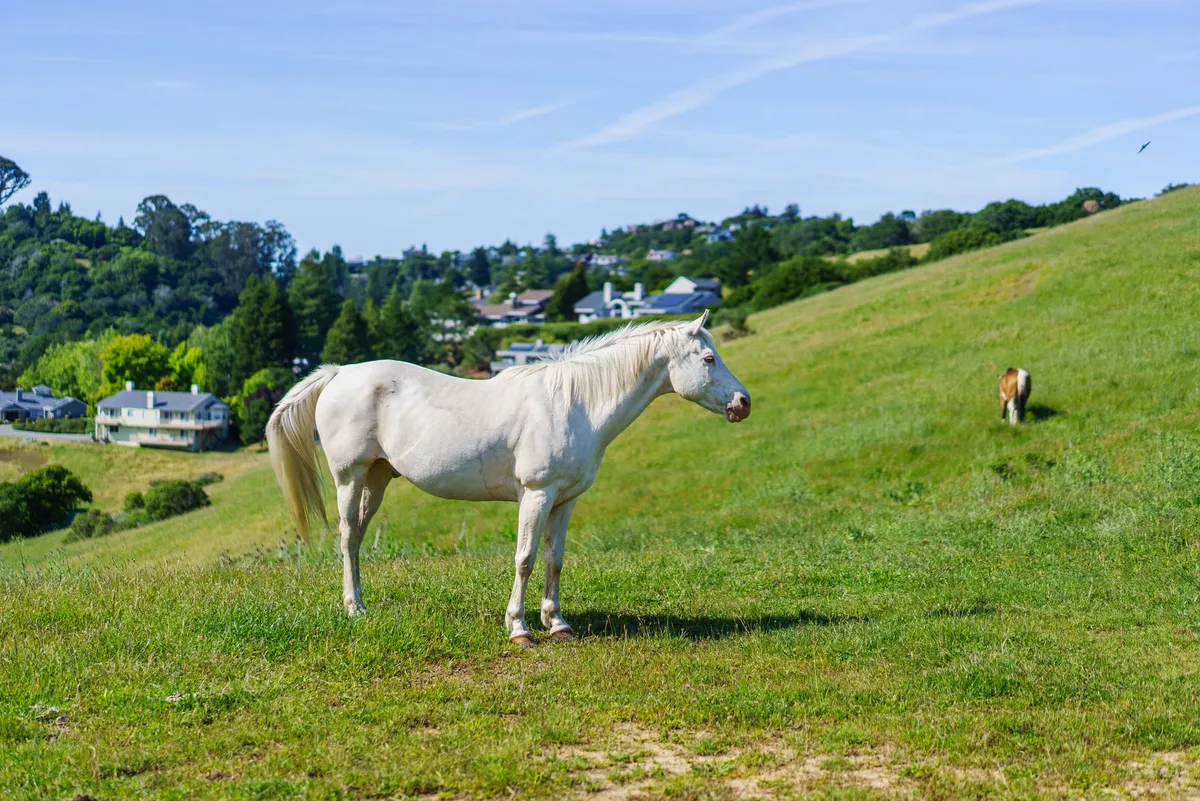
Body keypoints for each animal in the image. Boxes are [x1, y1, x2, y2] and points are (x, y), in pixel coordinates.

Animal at [266, 312, 751, 647]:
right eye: (708, 358)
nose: (743, 403)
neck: (574, 404)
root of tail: (339, 374)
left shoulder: (565, 500)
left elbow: (555, 560)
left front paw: (558, 623)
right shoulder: (536, 495)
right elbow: (525, 559)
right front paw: (519, 629)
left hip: (378, 478)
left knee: (357, 539)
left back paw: (361, 602)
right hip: (350, 477)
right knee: (348, 537)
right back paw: (355, 609)